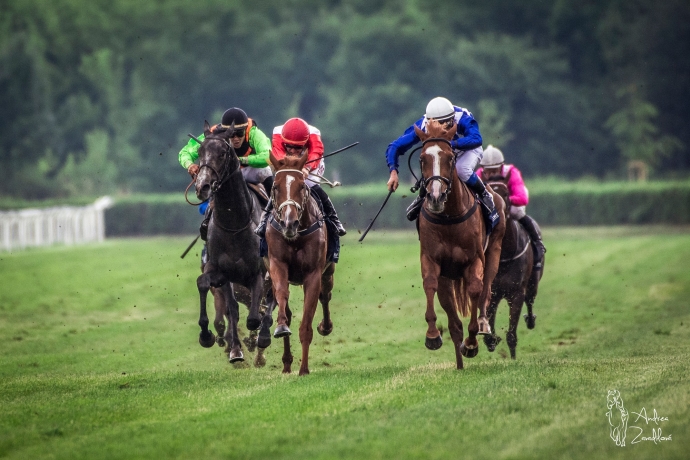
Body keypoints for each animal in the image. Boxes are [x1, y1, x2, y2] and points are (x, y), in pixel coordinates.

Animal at [195, 121, 268, 362]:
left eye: (223, 152)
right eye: (200, 152)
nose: (202, 186)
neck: (235, 224)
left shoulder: (258, 273)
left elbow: (254, 317)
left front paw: (255, 340)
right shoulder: (223, 273)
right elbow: (229, 307)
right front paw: (214, 339)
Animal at [260, 150, 334, 374]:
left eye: (302, 186)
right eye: (275, 186)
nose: (288, 223)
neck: (296, 236)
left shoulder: (313, 273)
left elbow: (306, 323)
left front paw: (304, 370)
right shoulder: (277, 264)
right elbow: (282, 296)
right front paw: (281, 327)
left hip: (329, 271)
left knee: (325, 296)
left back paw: (326, 326)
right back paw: (286, 364)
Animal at [414, 119, 506, 370]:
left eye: (450, 158)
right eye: (422, 159)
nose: (435, 197)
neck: (449, 216)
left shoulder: (474, 260)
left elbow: (475, 289)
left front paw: (472, 343)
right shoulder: (431, 259)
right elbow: (429, 284)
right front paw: (432, 335)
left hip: (494, 250)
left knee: (486, 289)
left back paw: (482, 325)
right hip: (448, 278)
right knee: (453, 321)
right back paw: (459, 363)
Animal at [478, 181, 544, 360]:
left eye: (506, 194)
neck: (504, 256)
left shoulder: (516, 293)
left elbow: (511, 334)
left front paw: (513, 359)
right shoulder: (492, 292)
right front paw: (491, 339)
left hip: (533, 282)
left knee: (530, 299)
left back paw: (530, 319)